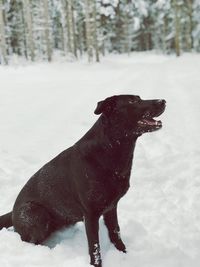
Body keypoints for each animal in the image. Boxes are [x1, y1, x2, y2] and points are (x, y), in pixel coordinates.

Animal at [0, 95, 166, 266]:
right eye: (133, 101)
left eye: (139, 98)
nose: (163, 101)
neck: (111, 149)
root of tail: (12, 213)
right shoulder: (91, 213)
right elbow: (95, 247)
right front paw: (96, 264)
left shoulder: (111, 207)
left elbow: (116, 233)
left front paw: (125, 255)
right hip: (35, 213)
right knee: (30, 240)